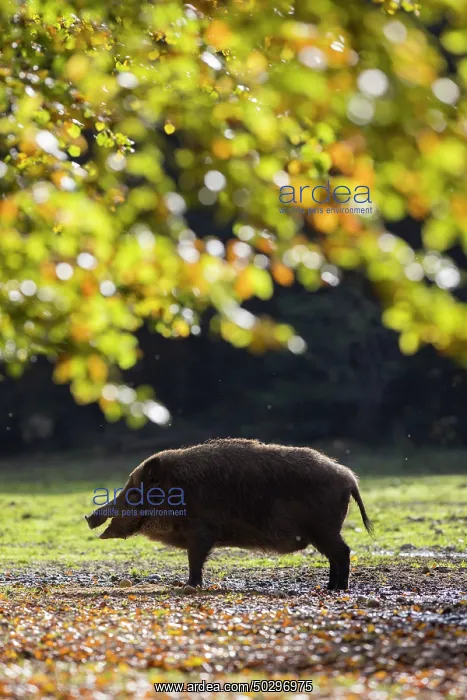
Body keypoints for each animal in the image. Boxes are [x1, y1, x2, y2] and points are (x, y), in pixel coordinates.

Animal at [85, 438, 373, 590]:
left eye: (133, 491)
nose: (89, 517)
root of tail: (349, 478)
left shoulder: (201, 532)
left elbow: (195, 560)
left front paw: (188, 586)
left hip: (324, 529)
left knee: (343, 552)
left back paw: (338, 588)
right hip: (324, 532)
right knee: (336, 555)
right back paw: (329, 587)